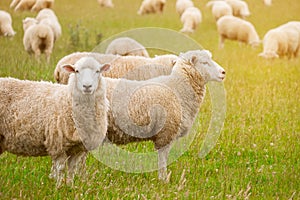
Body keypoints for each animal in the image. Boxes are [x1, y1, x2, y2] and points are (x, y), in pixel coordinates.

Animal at [0, 56, 110, 186]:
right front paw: (58, 187)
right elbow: (60, 169)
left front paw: (70, 186)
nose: (87, 86)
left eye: (98, 71)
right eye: (76, 71)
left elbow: (72, 170)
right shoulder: (57, 144)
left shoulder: (77, 149)